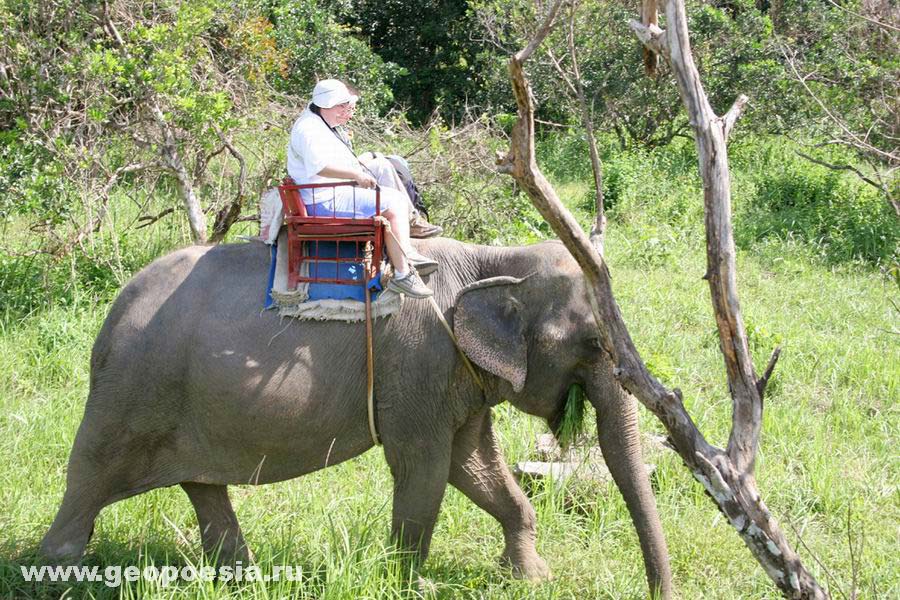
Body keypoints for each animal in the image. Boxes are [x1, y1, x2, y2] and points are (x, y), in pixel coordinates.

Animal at [42, 237, 672, 596]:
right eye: (593, 343)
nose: (659, 591)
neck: (496, 257)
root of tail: (109, 319)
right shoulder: (417, 363)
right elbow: (425, 468)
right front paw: (413, 584)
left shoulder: (456, 375)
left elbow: (474, 465)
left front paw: (531, 578)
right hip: (130, 394)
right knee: (90, 474)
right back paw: (61, 568)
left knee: (202, 482)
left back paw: (241, 575)